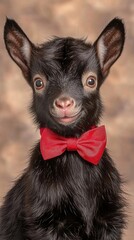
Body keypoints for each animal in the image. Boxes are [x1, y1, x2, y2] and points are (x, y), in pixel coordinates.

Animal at [0, 17, 125, 239]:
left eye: (91, 80)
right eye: (38, 82)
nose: (64, 103)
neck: (72, 146)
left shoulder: (110, 220)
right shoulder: (46, 224)